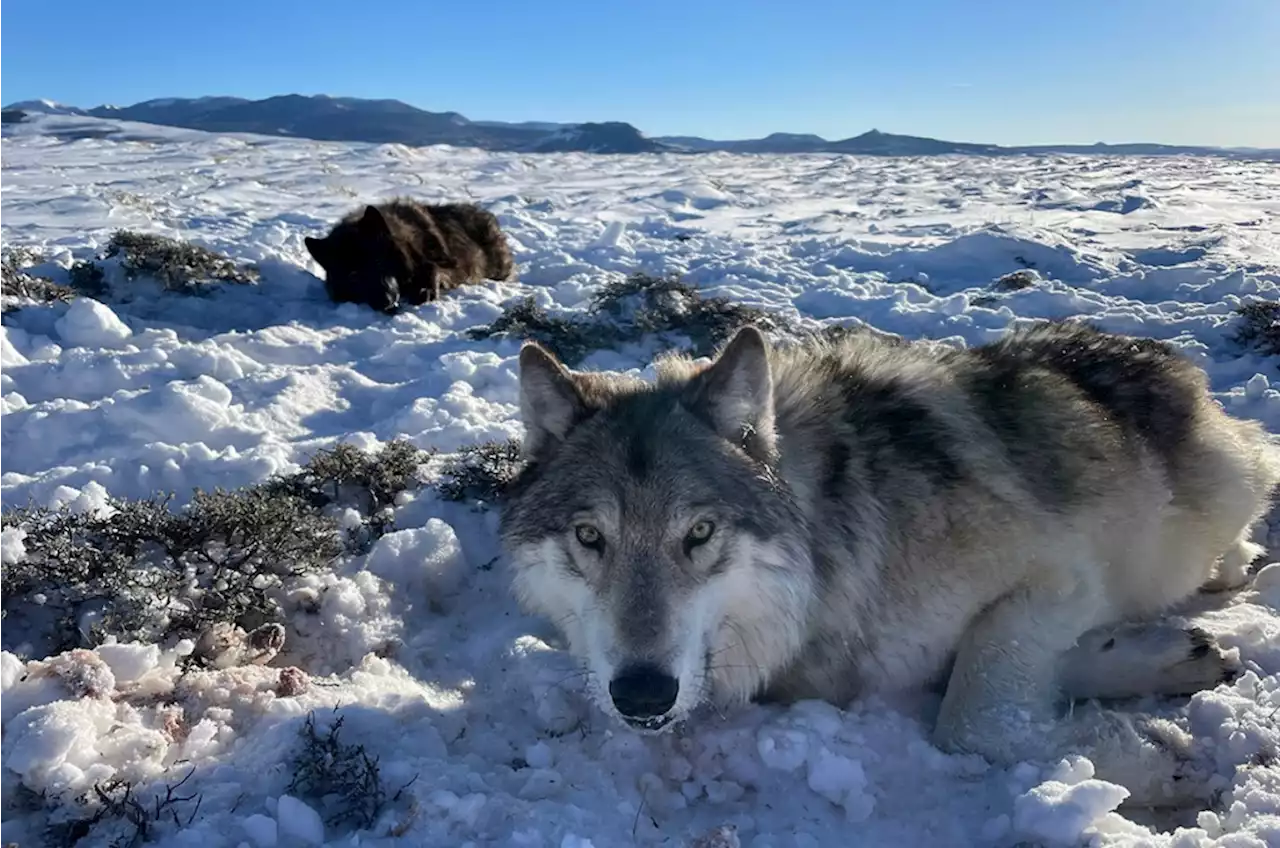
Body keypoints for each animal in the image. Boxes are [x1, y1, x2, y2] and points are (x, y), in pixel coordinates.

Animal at [304, 198, 514, 312]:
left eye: (378, 261)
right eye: (353, 275)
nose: (386, 301)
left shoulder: (453, 266)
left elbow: (432, 267)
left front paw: (425, 290)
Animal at [496, 320, 1280, 809]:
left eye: (700, 532)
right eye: (590, 537)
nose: (641, 695)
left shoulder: (1059, 574)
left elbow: (972, 716)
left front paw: (1155, 763)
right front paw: (1148, 682)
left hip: (1225, 486)